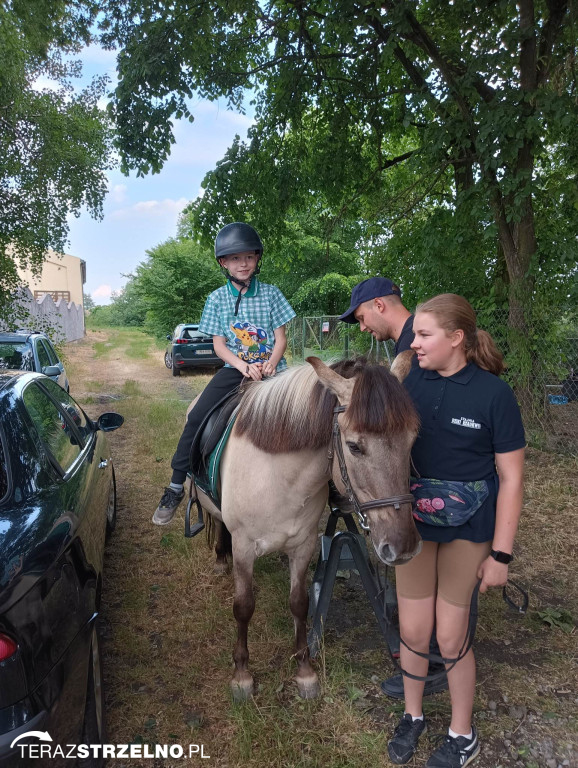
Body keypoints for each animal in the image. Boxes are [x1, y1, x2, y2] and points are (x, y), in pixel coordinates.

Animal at [191, 356, 420, 700]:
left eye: (412, 439)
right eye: (354, 447)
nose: (402, 546)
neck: (277, 476)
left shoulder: (303, 545)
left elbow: (299, 604)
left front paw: (304, 671)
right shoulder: (244, 547)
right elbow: (243, 607)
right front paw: (242, 675)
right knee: (218, 521)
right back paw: (220, 558)